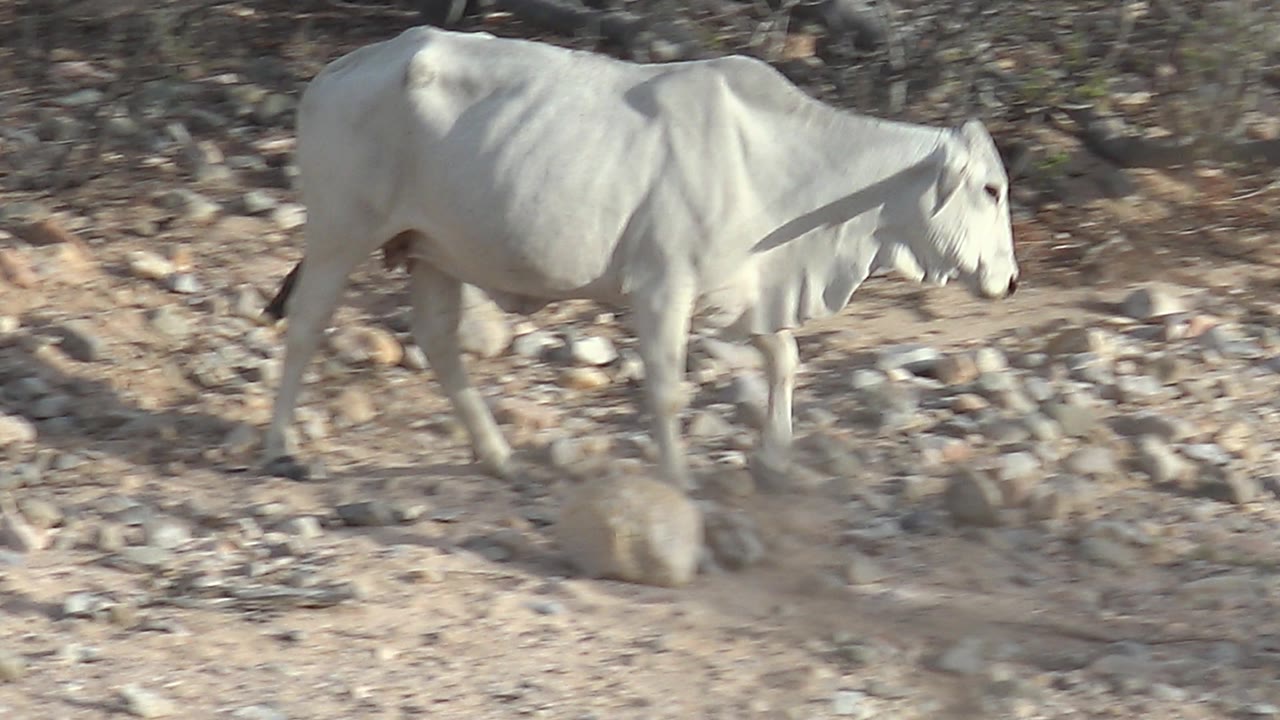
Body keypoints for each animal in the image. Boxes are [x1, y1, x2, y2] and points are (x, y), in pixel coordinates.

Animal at [261, 26, 1019, 489]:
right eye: (990, 188)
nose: (1010, 281)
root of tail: (337, 70)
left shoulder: (746, 289)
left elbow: (785, 357)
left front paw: (775, 459)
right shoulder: (662, 288)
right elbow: (666, 388)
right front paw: (678, 476)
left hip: (432, 253)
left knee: (440, 344)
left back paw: (499, 456)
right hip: (338, 234)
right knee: (306, 327)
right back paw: (280, 449)